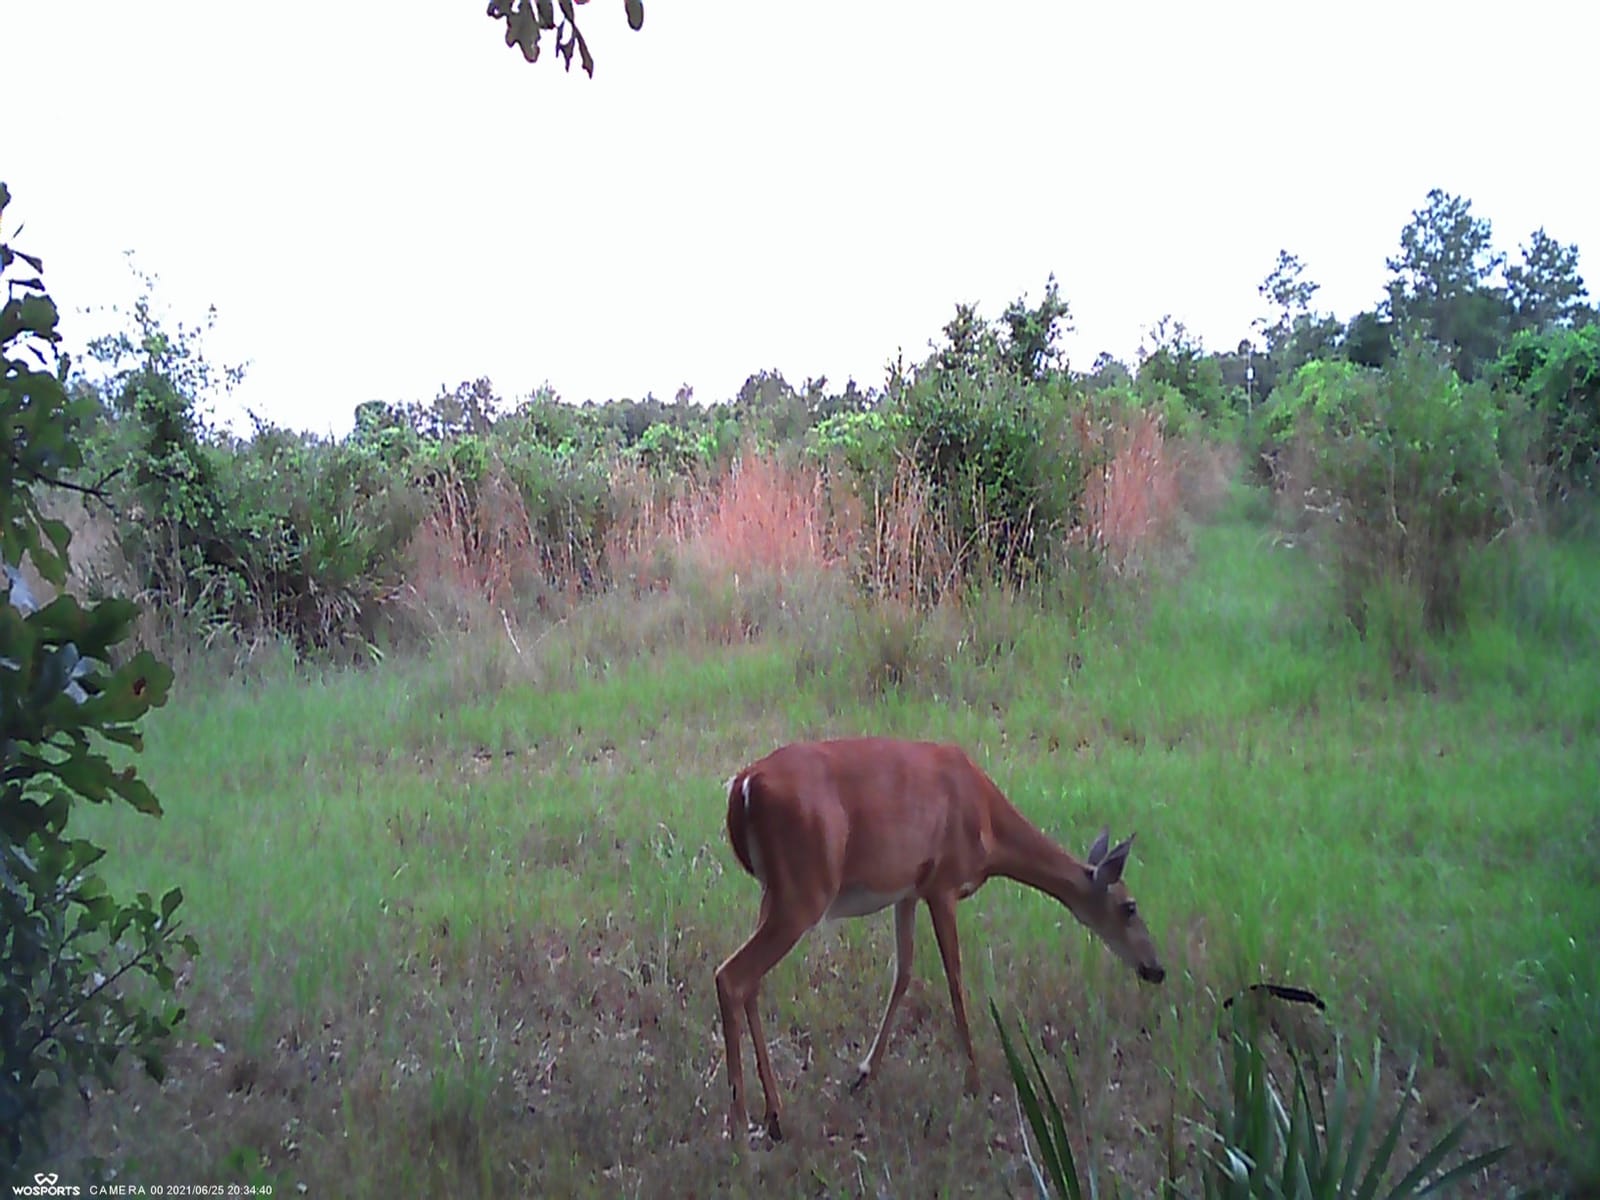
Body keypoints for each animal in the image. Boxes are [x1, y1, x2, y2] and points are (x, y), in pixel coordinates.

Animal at [714, 736, 1165, 1142]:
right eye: (1130, 907)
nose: (1156, 969)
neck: (988, 824)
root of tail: (745, 784)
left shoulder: (909, 890)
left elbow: (903, 973)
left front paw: (863, 1074)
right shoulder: (944, 883)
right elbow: (955, 980)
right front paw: (975, 1082)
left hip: (774, 890)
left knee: (750, 982)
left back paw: (774, 1114)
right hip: (804, 891)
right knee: (731, 976)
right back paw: (739, 1124)